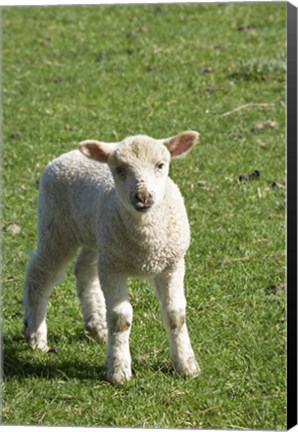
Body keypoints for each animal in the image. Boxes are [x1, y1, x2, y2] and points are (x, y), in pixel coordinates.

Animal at [23, 129, 200, 384]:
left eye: (160, 165)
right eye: (119, 170)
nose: (143, 196)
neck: (146, 244)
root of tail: (66, 155)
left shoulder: (172, 264)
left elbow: (176, 315)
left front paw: (186, 364)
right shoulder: (114, 268)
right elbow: (120, 319)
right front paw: (119, 370)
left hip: (98, 238)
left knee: (84, 271)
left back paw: (97, 326)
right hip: (56, 229)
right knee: (40, 274)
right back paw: (35, 335)